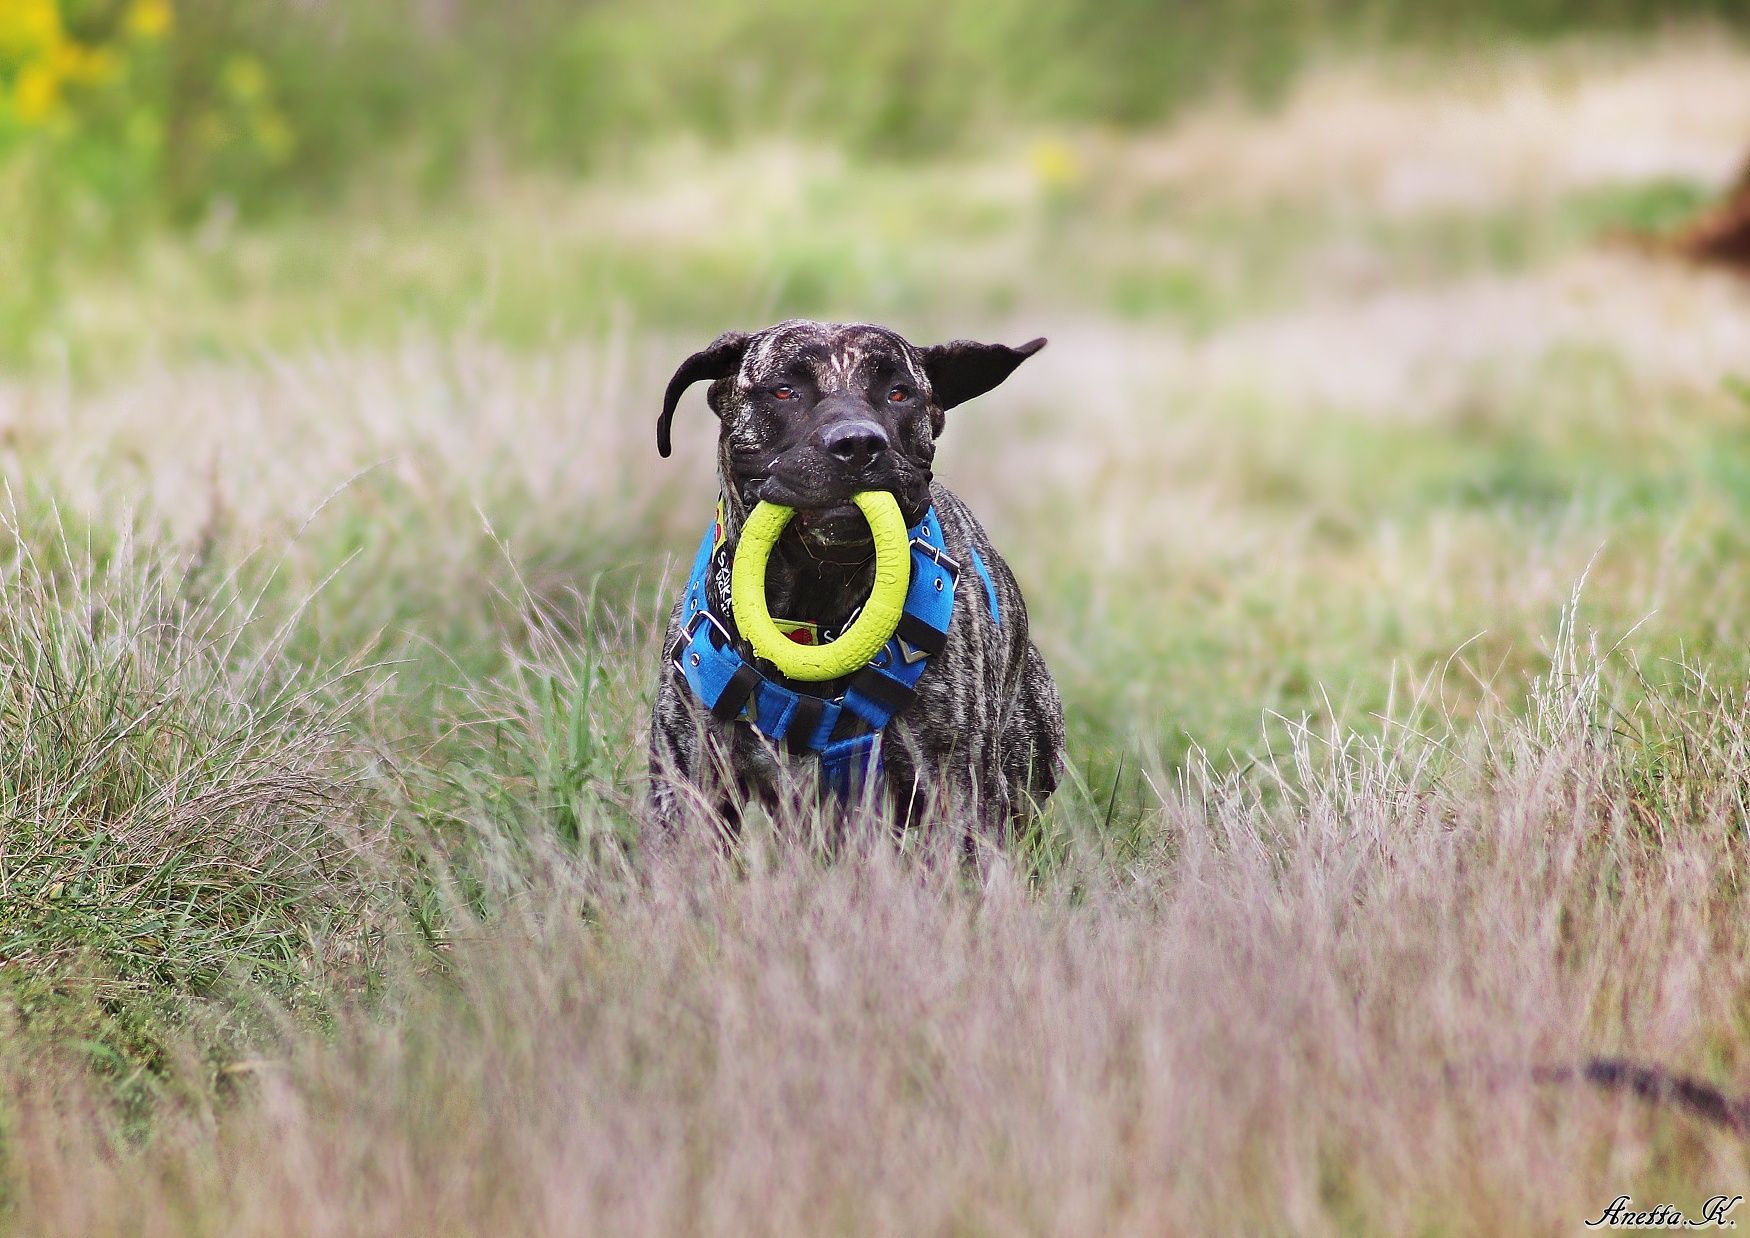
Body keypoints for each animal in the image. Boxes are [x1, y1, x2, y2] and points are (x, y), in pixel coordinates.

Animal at [640, 316, 1050, 844]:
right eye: (785, 390)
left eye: (898, 392)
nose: (858, 444)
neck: (817, 612)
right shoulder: (688, 786)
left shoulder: (958, 794)